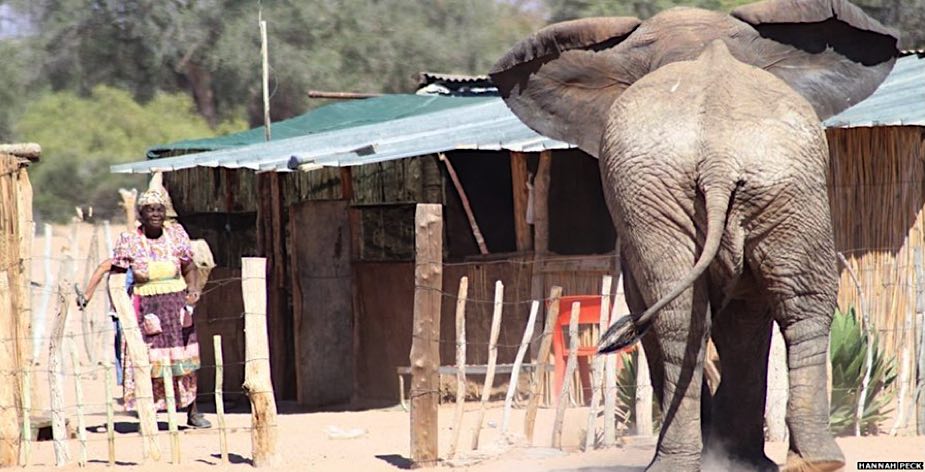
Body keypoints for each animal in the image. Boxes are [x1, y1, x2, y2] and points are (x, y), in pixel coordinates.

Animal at [489, 1, 899, 471]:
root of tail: (719, 156)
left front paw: (733, 457)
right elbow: (740, 317)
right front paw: (735, 457)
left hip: (741, 181)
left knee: (689, 315)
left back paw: (682, 461)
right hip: (778, 184)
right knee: (797, 302)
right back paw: (810, 459)